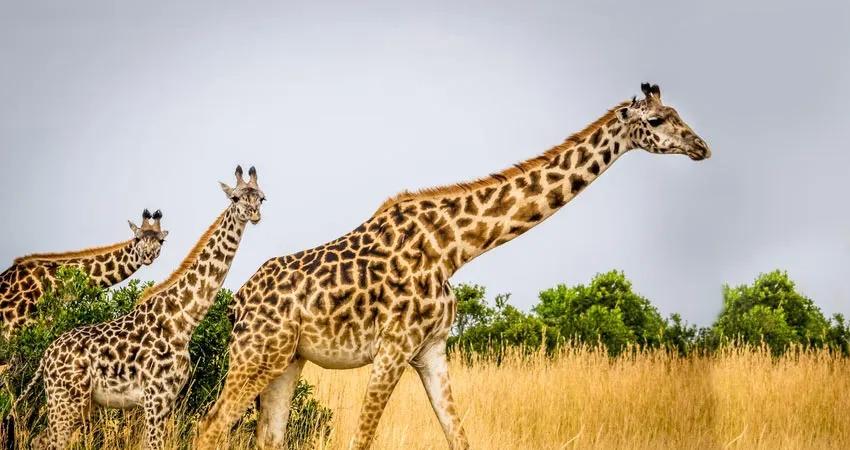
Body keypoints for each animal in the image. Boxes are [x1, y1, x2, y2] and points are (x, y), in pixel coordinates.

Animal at [29, 166, 262, 450]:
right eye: (235, 198)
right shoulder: (155, 397)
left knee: (40, 439)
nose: (254, 213)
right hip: (66, 399)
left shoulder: (168, 399)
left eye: (261, 198)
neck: (183, 319)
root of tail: (45, 357)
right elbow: (153, 444)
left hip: (76, 402)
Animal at [197, 82, 708, 448]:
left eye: (680, 114)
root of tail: (237, 302)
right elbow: (361, 440)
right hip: (255, 354)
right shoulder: (393, 348)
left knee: (267, 435)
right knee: (210, 425)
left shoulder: (432, 351)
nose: (701, 147)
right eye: (657, 119)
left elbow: (459, 436)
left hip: (288, 359)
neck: (454, 249)